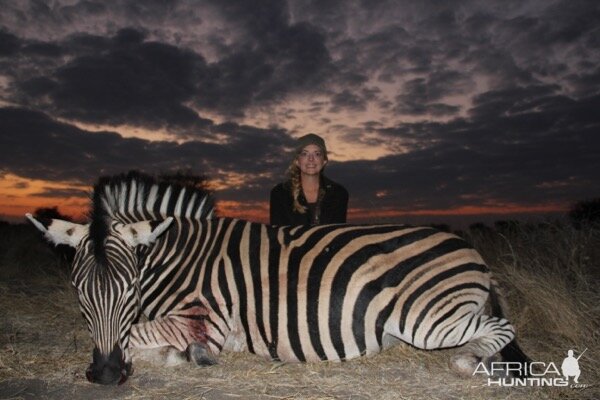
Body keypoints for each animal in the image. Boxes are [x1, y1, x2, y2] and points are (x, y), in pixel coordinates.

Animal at [27, 171, 528, 384]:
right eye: (78, 291)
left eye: (129, 287)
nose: (106, 375)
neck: (176, 255)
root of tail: (472, 252)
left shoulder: (207, 320)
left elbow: (140, 335)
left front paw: (181, 355)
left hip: (426, 320)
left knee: (499, 328)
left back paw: (469, 360)